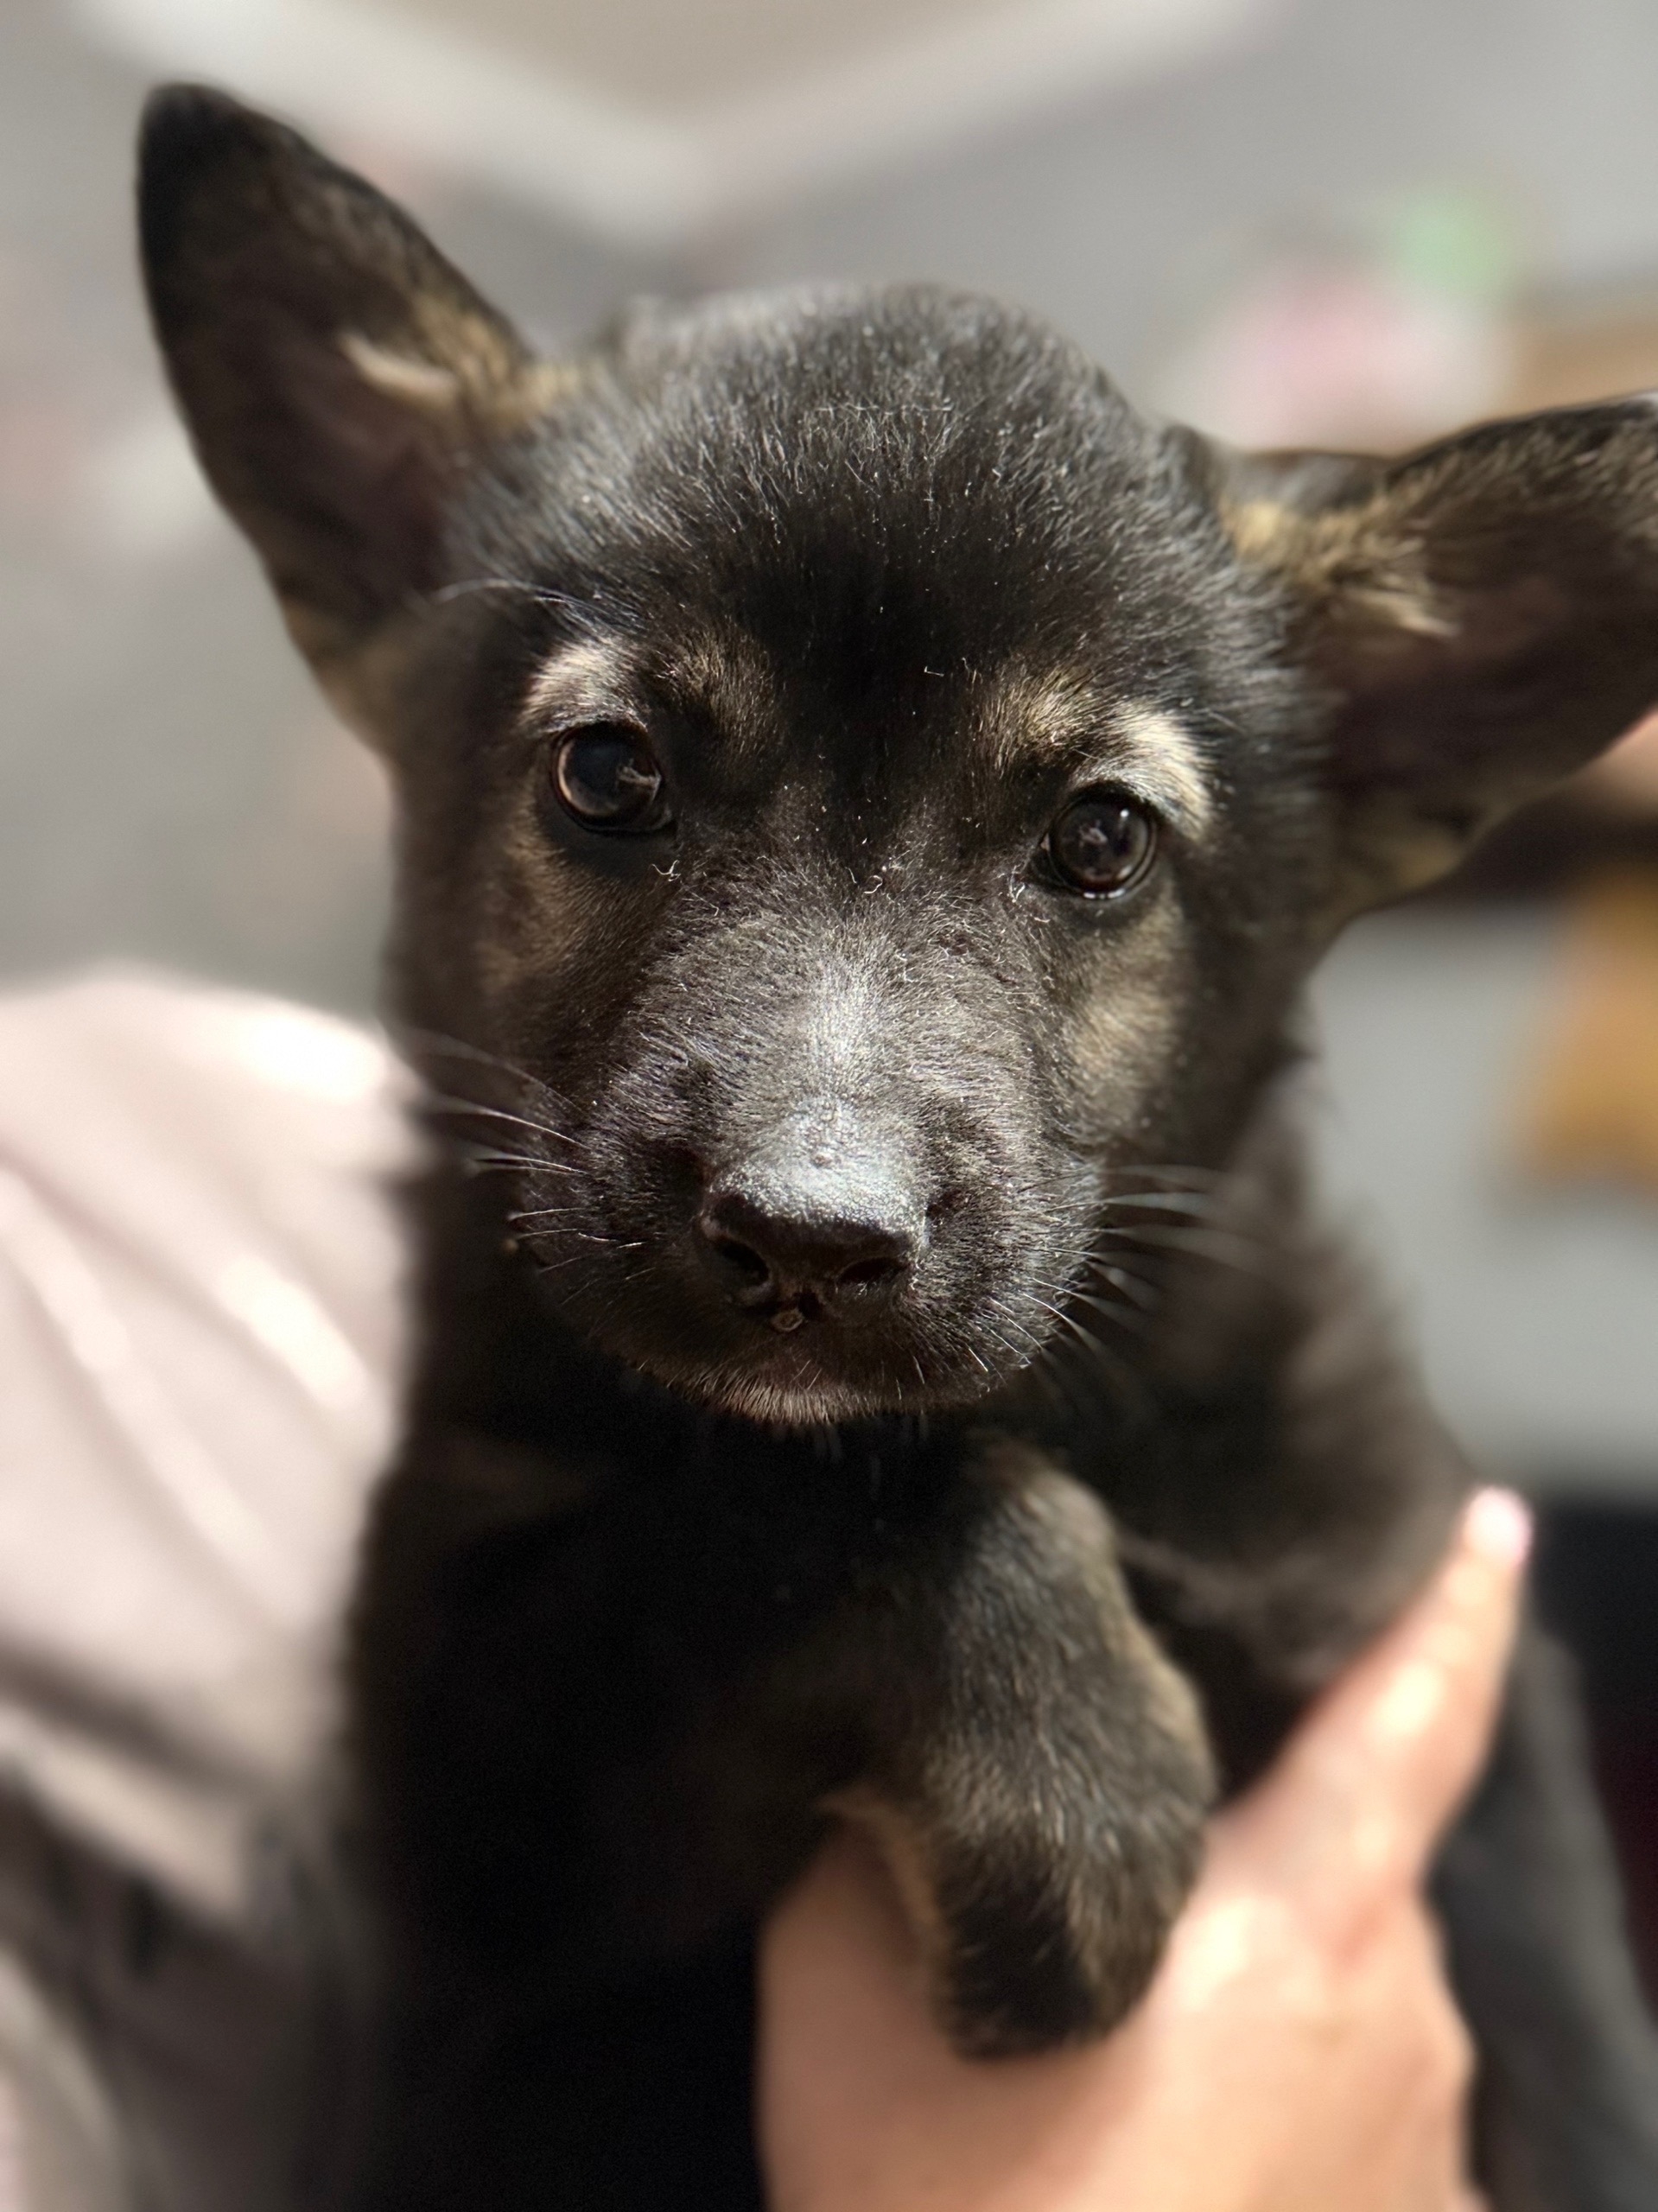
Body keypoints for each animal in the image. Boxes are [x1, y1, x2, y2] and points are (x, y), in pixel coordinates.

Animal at [138, 84, 1658, 2210]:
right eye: (604, 774)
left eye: (1096, 838)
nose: (807, 1239)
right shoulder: (466, 1786)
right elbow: (779, 1521)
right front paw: (1072, 1793)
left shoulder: (1458, 1701)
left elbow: (1576, 2067)